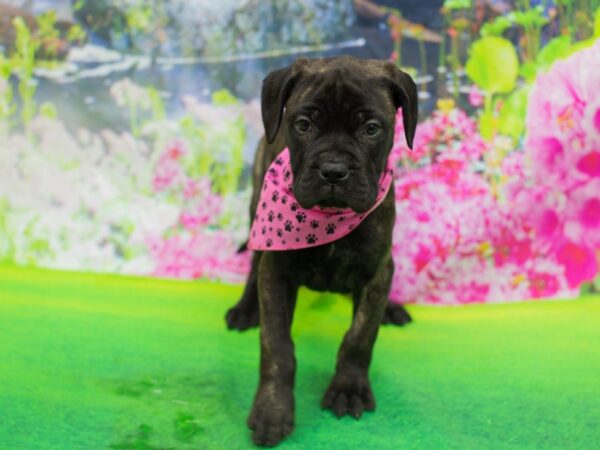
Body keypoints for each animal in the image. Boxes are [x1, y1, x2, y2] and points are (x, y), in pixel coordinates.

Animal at [225, 57, 418, 446]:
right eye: (303, 125)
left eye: (372, 128)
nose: (333, 171)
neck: (330, 221)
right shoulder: (277, 274)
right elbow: (277, 347)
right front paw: (273, 410)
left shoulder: (375, 271)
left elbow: (360, 335)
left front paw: (348, 388)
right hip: (256, 211)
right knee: (253, 262)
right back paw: (245, 308)